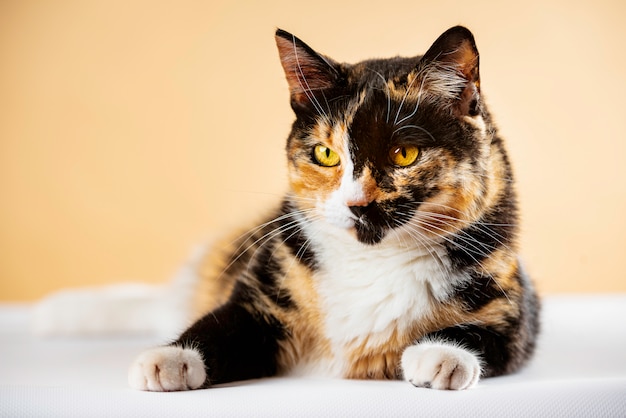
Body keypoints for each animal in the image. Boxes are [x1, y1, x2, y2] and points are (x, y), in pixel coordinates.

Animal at [125, 26, 536, 392]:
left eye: (404, 154)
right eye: (325, 153)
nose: (357, 203)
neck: (374, 260)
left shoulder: (510, 301)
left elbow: (488, 333)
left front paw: (440, 356)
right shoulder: (267, 285)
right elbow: (224, 321)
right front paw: (170, 360)